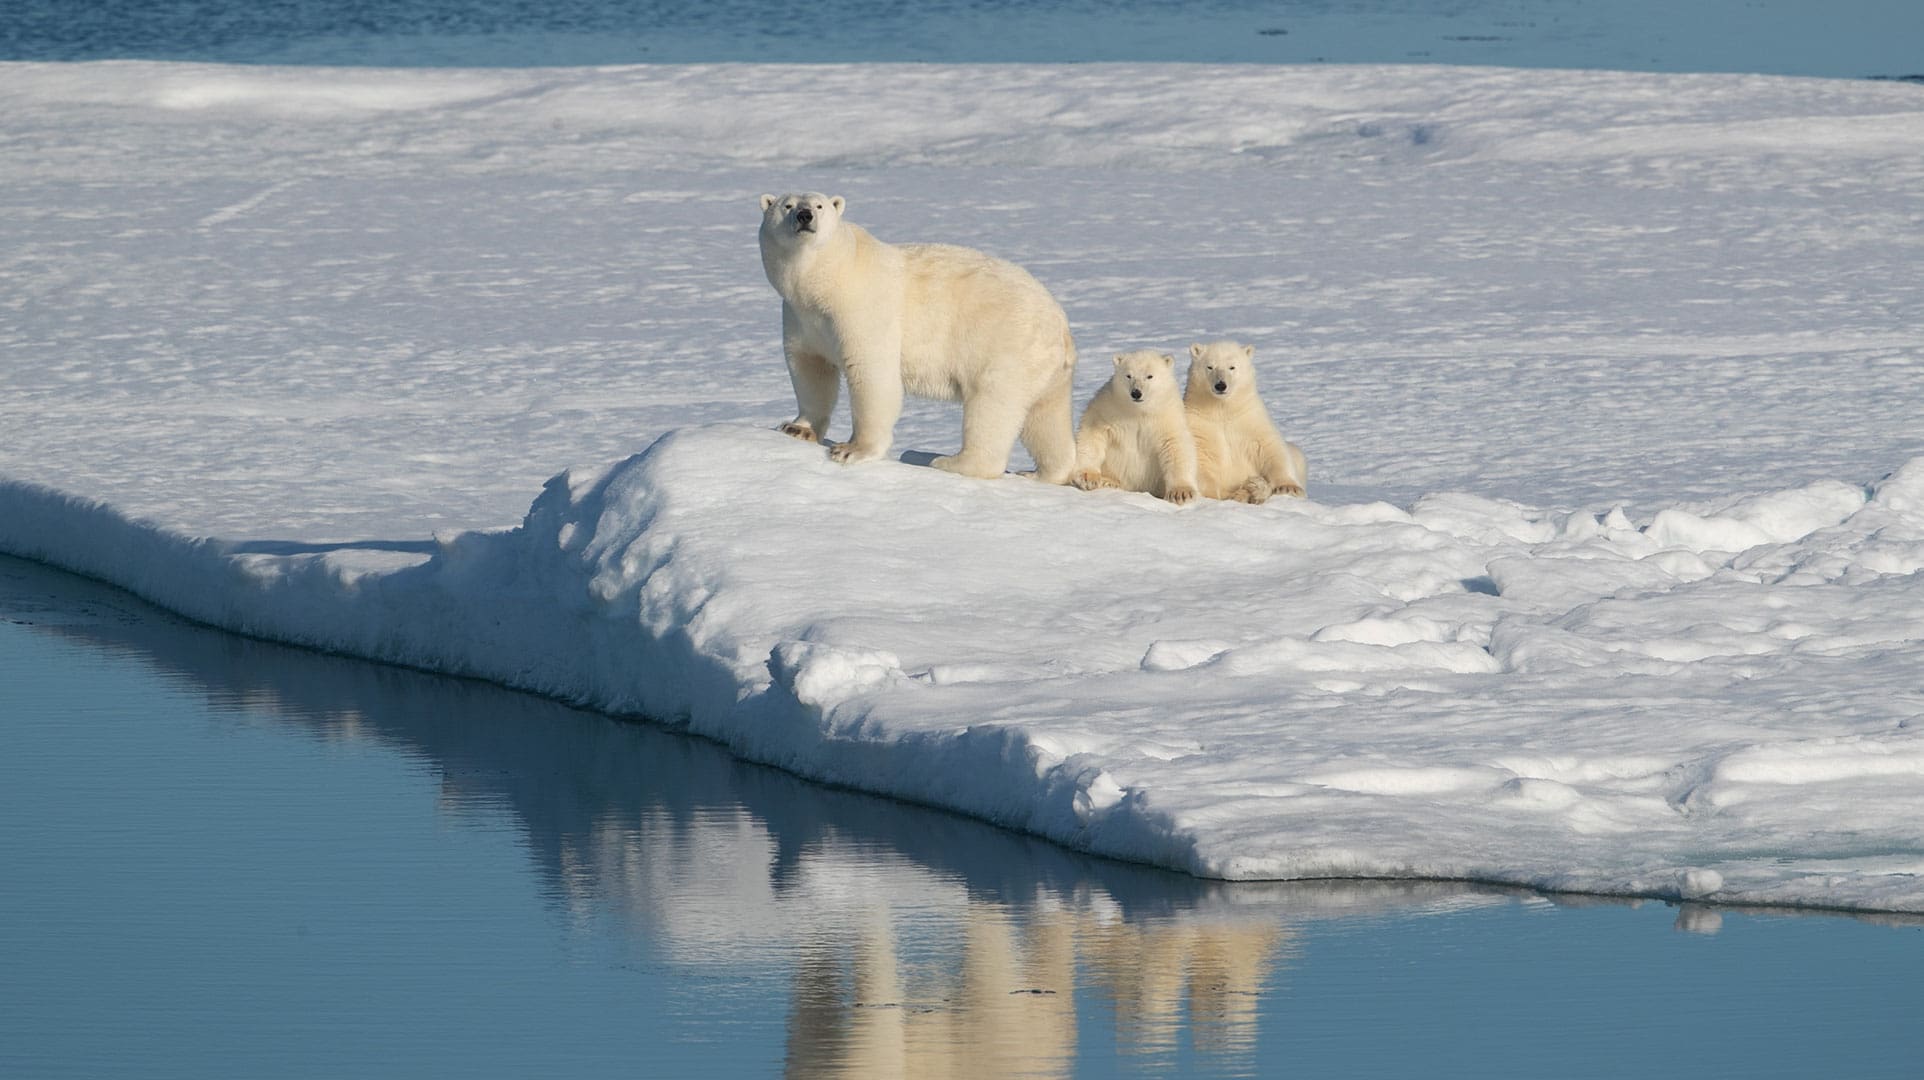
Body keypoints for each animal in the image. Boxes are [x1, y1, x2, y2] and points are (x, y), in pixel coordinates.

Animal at [758, 192, 1078, 483]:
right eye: (787, 205)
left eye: (819, 205)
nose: (804, 216)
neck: (826, 281)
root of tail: (1062, 328)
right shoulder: (800, 316)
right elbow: (809, 368)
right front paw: (797, 428)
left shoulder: (864, 308)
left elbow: (871, 373)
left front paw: (850, 450)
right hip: (1044, 370)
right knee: (1044, 419)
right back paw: (1041, 473)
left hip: (1005, 347)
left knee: (992, 406)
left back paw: (949, 462)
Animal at [1071, 350, 1199, 504]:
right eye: (1128, 375)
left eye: (1149, 376)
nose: (1136, 393)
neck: (1139, 410)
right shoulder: (1109, 405)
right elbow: (1093, 432)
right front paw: (1088, 477)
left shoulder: (1167, 415)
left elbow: (1175, 445)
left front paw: (1181, 493)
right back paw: (1109, 481)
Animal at [1183, 340, 1307, 502]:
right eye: (1210, 366)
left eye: (1232, 367)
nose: (1220, 385)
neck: (1222, 409)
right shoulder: (1199, 425)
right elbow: (1199, 461)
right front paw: (1224, 494)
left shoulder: (1250, 417)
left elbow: (1270, 447)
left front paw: (1288, 487)